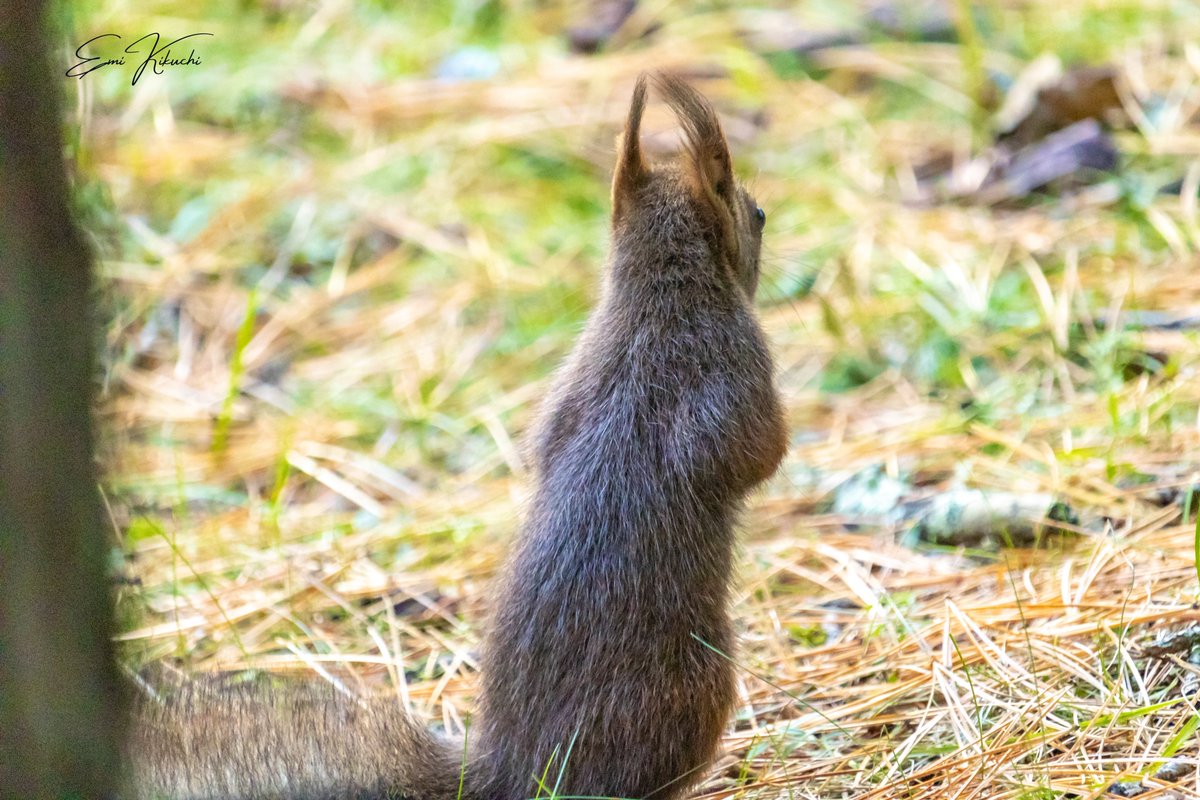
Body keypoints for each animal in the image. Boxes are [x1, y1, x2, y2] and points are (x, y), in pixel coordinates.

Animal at [127, 72, 787, 800]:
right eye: (756, 215)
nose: (764, 218)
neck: (658, 295)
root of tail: (514, 767)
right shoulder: (736, 367)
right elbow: (763, 452)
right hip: (701, 686)